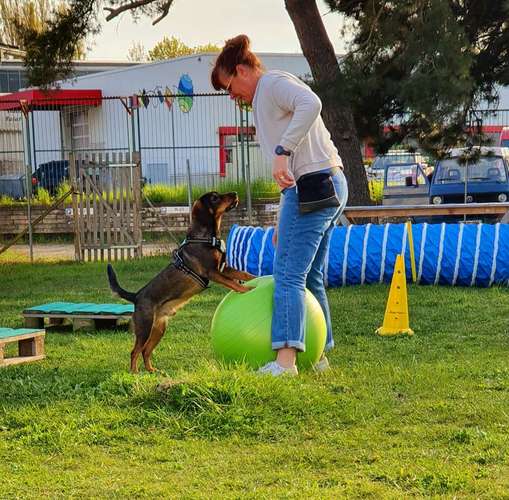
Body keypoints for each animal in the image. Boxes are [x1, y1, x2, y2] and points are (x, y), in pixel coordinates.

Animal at [108, 191, 256, 372]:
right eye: (214, 198)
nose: (235, 193)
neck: (207, 237)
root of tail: (136, 296)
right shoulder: (213, 272)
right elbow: (233, 283)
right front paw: (246, 290)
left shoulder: (223, 268)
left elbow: (243, 274)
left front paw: (256, 279)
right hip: (145, 327)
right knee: (135, 351)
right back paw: (134, 373)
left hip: (159, 329)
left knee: (146, 350)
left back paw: (151, 371)